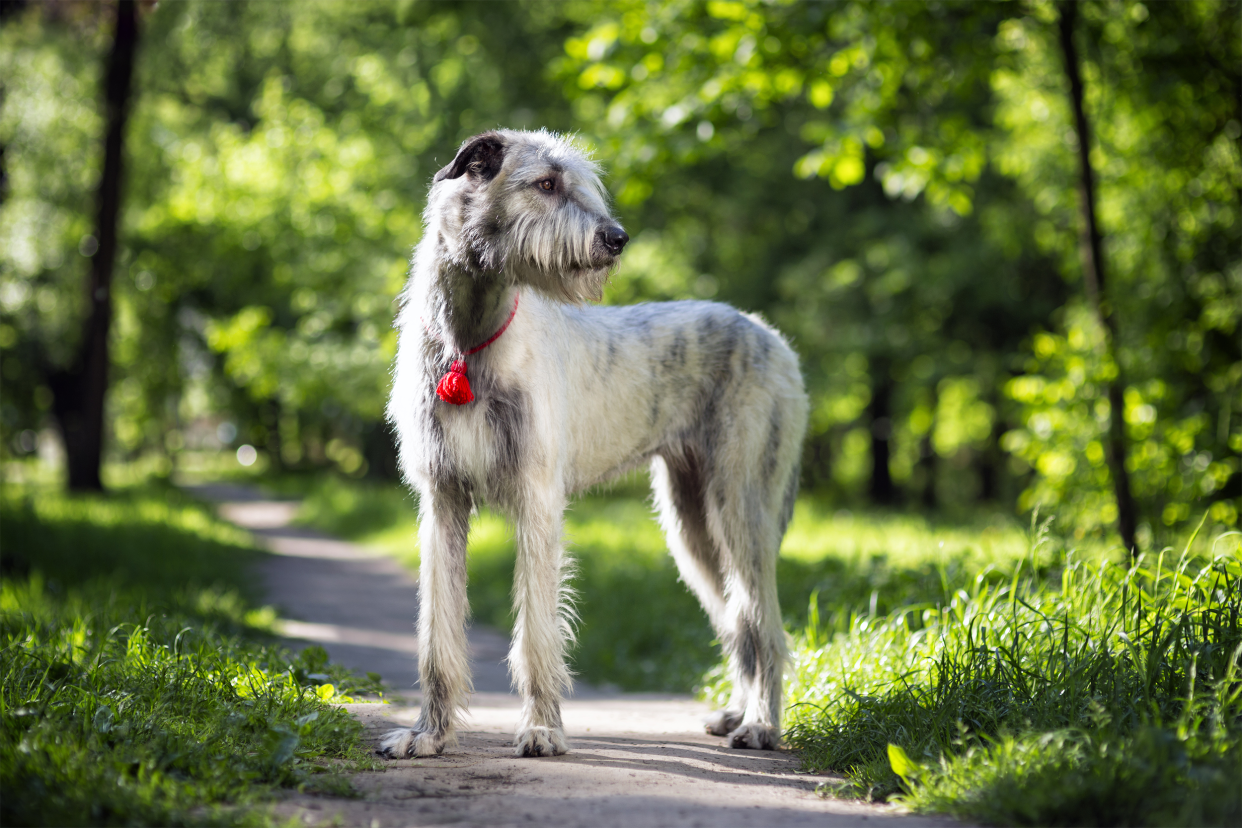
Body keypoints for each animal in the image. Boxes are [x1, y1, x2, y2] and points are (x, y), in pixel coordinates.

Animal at [380, 129, 804, 759]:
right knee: (738, 624)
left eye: (579, 184)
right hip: (691, 524)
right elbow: (438, 630)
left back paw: (761, 725)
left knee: (764, 625)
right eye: (546, 183)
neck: (470, 338)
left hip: (742, 505)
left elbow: (537, 629)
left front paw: (541, 728)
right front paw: (427, 734)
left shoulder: (537, 498)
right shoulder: (442, 499)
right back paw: (737, 711)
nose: (617, 238)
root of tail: (774, 338)